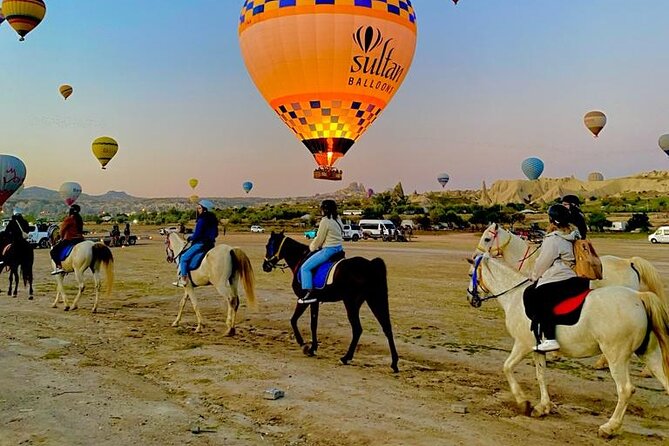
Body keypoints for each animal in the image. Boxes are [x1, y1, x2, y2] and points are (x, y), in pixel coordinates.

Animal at [262, 231, 399, 372]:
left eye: (268, 246)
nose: (265, 266)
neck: (300, 259)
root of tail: (370, 265)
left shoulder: (303, 299)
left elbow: (293, 320)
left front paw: (303, 344)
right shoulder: (314, 301)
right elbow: (313, 324)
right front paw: (312, 348)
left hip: (351, 303)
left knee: (357, 329)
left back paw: (346, 358)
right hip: (374, 300)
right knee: (386, 327)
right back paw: (394, 363)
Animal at [467, 253, 669, 438]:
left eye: (471, 274)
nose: (470, 299)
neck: (515, 297)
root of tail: (639, 297)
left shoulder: (522, 345)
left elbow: (507, 367)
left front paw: (523, 402)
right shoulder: (537, 350)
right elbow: (541, 375)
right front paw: (543, 407)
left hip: (616, 356)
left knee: (625, 390)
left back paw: (609, 427)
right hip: (649, 353)